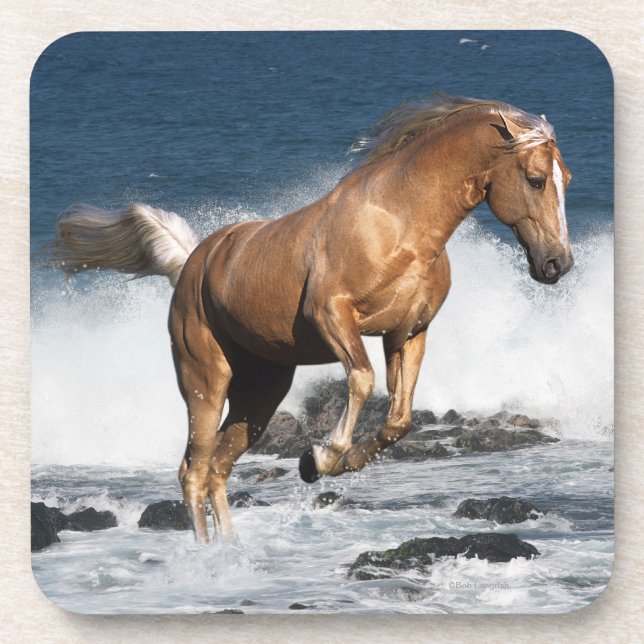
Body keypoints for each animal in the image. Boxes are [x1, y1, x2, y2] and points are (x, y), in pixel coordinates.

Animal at [53, 94, 573, 543]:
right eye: (535, 179)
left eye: (565, 177)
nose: (557, 264)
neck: (399, 225)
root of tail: (191, 264)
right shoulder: (332, 316)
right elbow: (362, 379)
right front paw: (320, 457)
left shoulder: (408, 333)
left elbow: (399, 420)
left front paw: (327, 461)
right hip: (205, 379)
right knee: (193, 469)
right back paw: (206, 562)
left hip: (261, 394)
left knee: (219, 466)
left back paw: (232, 553)